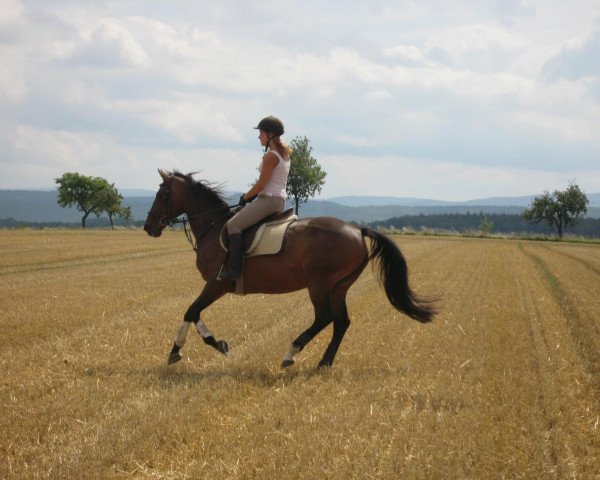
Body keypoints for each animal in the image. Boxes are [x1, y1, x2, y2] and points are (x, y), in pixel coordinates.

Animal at [145, 169, 436, 368]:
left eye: (161, 194)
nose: (149, 227)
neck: (213, 226)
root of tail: (358, 229)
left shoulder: (217, 284)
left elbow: (191, 310)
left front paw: (188, 348)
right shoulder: (214, 286)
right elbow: (192, 312)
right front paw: (204, 346)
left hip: (318, 283)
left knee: (325, 317)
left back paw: (291, 353)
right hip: (339, 286)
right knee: (341, 321)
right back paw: (324, 362)